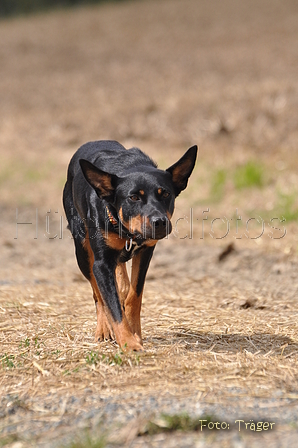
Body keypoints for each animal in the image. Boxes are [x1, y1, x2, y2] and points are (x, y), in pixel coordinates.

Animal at [63, 140, 198, 350]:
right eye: (133, 197)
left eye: (165, 194)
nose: (160, 222)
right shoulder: (101, 264)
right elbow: (111, 304)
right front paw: (129, 343)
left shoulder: (146, 252)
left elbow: (134, 295)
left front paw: (135, 333)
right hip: (82, 251)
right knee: (98, 294)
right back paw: (104, 329)